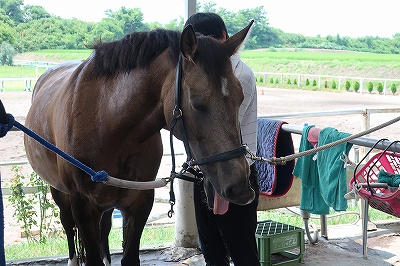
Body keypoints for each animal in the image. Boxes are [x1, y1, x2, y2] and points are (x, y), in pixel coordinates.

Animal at [24, 23, 253, 266]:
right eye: (197, 104)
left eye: (241, 98)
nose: (240, 187)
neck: (106, 122)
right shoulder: (83, 206)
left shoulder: (139, 203)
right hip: (59, 192)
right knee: (68, 224)